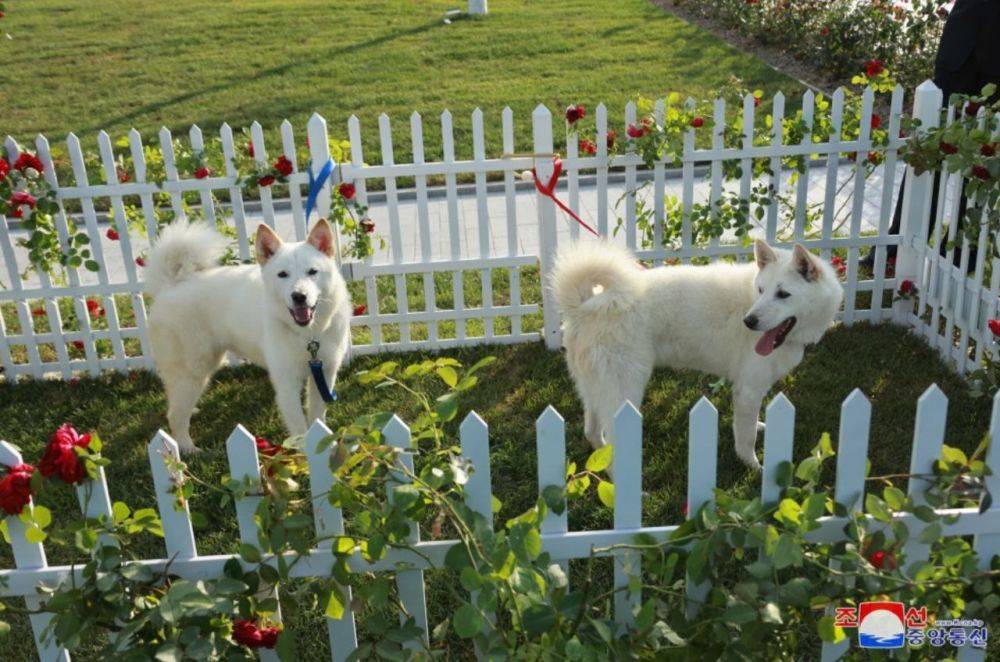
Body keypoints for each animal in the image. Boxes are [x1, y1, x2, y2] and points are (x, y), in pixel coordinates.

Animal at [146, 220, 352, 454]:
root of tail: (170, 285)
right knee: (174, 415)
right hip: (193, 370)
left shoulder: (324, 373)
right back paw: (189, 449)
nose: (299, 296)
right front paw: (304, 455)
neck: (308, 334)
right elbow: (299, 427)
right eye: (283, 274)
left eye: (312, 272)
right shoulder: (287, 381)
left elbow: (317, 417)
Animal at [552, 241, 840, 470]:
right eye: (760, 290)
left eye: (782, 294)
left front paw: (758, 427)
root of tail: (586, 308)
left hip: (594, 389)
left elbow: (749, 425)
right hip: (624, 393)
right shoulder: (748, 390)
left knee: (592, 431)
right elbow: (746, 438)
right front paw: (753, 467)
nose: (748, 321)